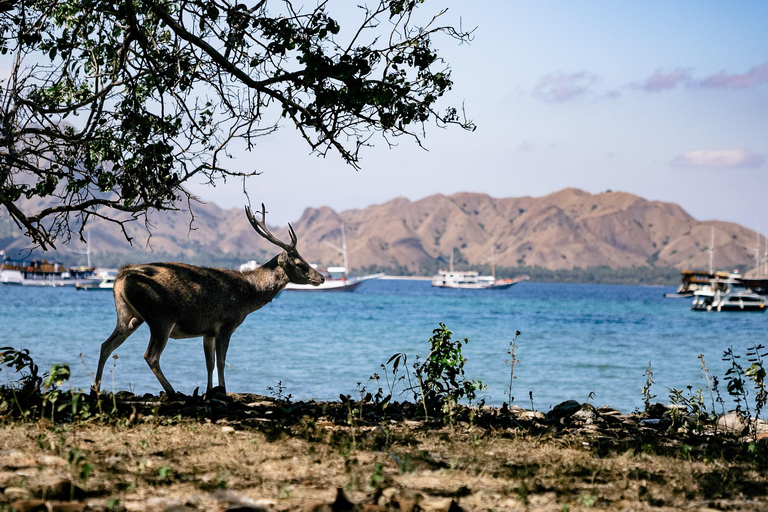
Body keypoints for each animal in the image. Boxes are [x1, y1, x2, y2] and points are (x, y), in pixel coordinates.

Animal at [91, 204, 322, 400]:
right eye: (300, 264)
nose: (320, 277)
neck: (248, 294)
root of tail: (121, 277)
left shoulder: (207, 330)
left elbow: (209, 363)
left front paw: (209, 392)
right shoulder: (226, 325)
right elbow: (221, 362)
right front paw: (224, 391)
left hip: (128, 315)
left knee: (106, 345)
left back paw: (96, 389)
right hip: (160, 317)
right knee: (150, 356)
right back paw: (173, 392)